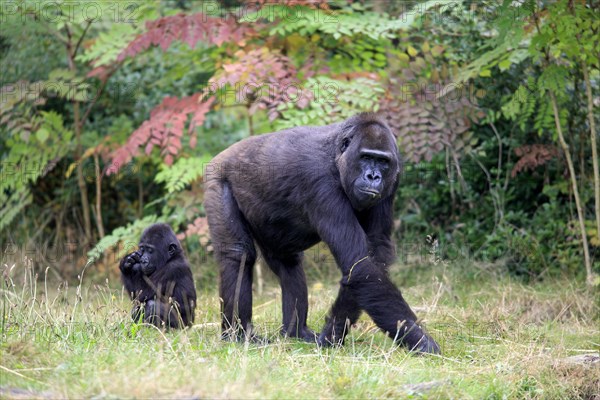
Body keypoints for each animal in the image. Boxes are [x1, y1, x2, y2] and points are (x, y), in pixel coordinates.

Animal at [204, 113, 438, 354]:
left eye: (383, 162)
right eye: (366, 157)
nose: (373, 176)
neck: (337, 156)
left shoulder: (393, 179)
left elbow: (370, 258)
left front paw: (332, 334)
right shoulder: (319, 180)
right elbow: (361, 265)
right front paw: (420, 340)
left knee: (287, 262)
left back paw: (296, 332)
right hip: (217, 178)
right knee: (238, 256)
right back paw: (238, 335)